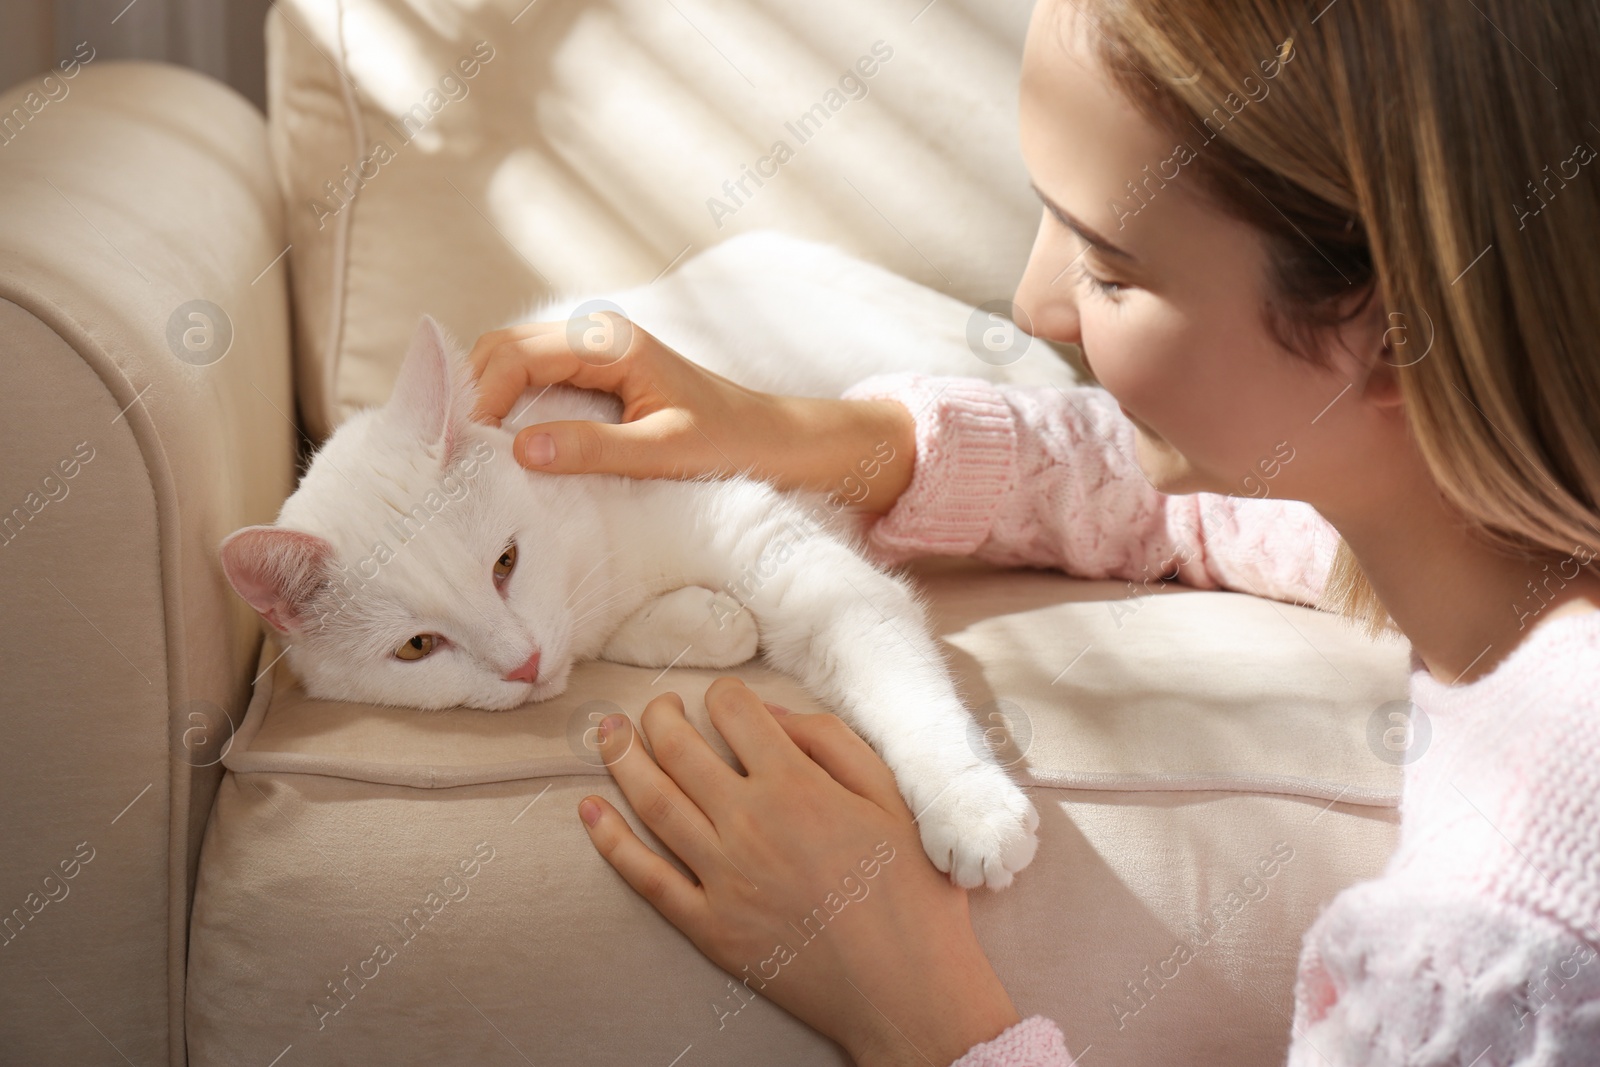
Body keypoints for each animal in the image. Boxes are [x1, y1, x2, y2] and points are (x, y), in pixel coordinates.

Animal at [225, 235, 1043, 895]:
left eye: (505, 562)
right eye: (417, 647)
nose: (522, 664)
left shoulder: (787, 557)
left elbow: (895, 673)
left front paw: (970, 805)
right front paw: (706, 623)